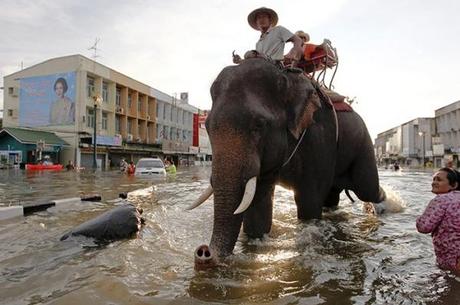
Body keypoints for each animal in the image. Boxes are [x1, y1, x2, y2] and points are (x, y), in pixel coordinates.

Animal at [189, 57, 386, 268]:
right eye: (207, 126)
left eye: (258, 125)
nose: (203, 252)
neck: (287, 78)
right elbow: (257, 203)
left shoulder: (320, 136)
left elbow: (309, 201)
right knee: (333, 196)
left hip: (363, 141)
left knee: (366, 189)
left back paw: (383, 204)